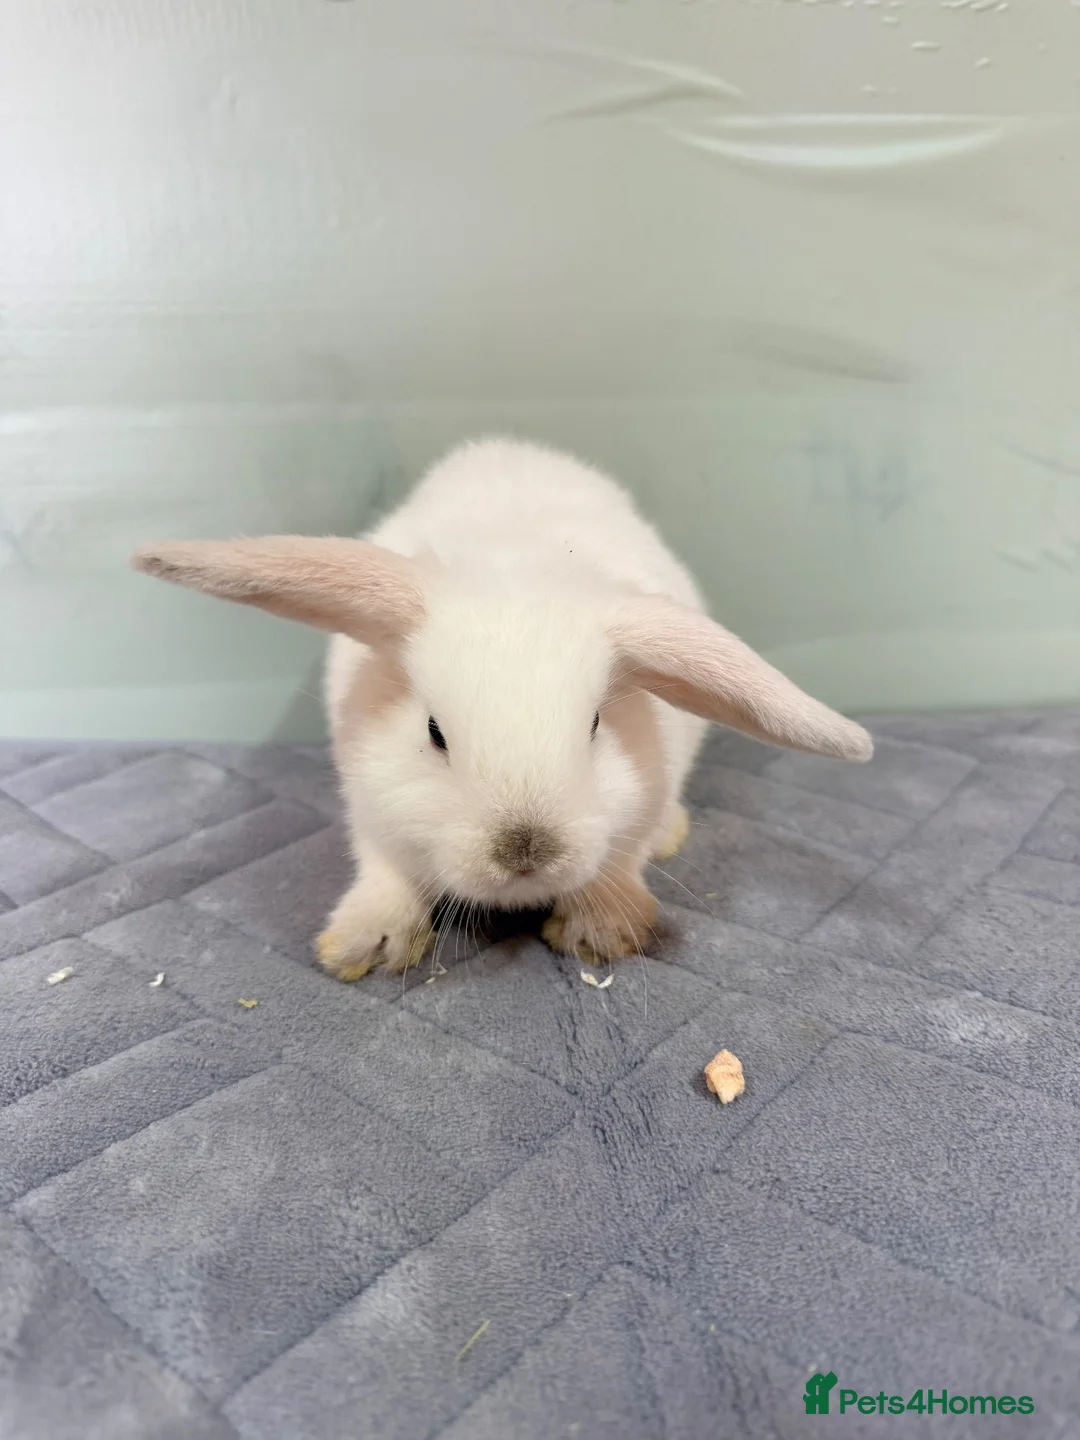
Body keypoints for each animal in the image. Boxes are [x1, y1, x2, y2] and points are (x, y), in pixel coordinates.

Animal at [132, 437, 872, 981]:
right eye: (434, 732)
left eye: (596, 725)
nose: (525, 851)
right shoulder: (371, 811)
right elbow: (385, 871)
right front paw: (364, 946)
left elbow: (622, 858)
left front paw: (600, 931)